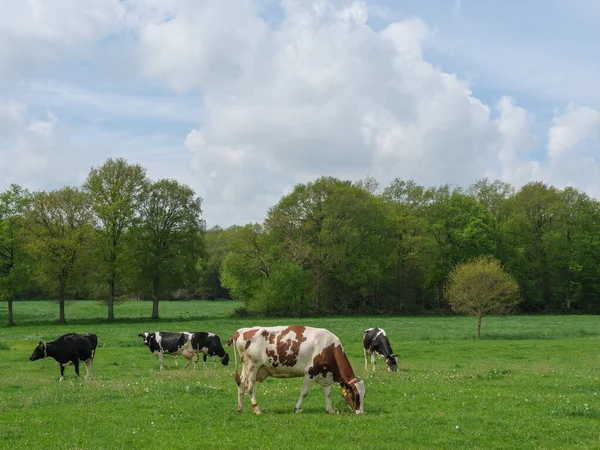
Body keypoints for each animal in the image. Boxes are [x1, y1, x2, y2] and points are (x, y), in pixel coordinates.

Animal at [226, 326, 364, 414]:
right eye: (356, 395)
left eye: (364, 395)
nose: (361, 412)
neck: (329, 347)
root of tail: (241, 331)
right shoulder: (310, 372)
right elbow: (304, 392)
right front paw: (297, 409)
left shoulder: (325, 376)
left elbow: (327, 394)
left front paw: (330, 410)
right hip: (252, 366)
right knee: (250, 387)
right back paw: (257, 410)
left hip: (246, 368)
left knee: (241, 384)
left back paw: (240, 409)